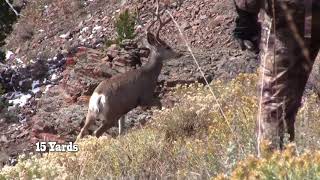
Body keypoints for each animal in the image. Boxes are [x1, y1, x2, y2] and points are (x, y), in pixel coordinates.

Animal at [77, 8, 181, 139]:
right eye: (167, 47)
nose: (178, 54)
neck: (149, 74)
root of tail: (98, 97)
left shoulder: (124, 111)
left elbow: (122, 130)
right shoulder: (144, 98)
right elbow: (159, 104)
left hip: (92, 113)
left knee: (82, 132)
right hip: (111, 114)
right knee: (97, 132)